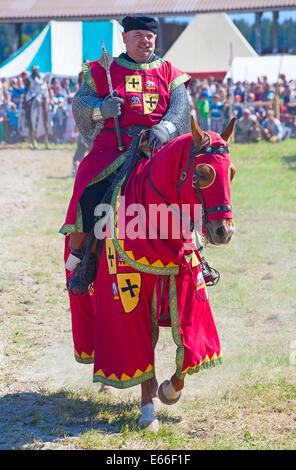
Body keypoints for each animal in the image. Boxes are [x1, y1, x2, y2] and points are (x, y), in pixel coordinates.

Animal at [87, 116, 236, 430]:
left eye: (231, 173)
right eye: (203, 174)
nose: (224, 232)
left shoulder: (186, 287)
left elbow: (189, 344)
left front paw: (169, 390)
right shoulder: (131, 297)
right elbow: (139, 345)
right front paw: (147, 411)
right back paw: (110, 384)